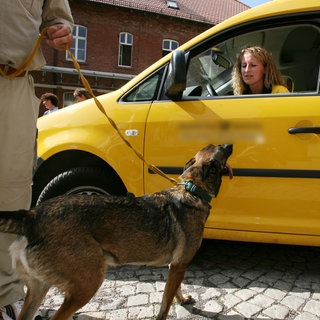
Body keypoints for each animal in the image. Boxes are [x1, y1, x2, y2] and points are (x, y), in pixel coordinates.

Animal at [0, 144, 232, 318]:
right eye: (221, 148)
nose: (230, 144)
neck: (192, 190)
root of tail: (31, 216)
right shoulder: (179, 264)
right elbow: (166, 303)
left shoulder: (175, 265)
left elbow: (176, 289)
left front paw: (182, 299)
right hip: (87, 284)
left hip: (40, 288)